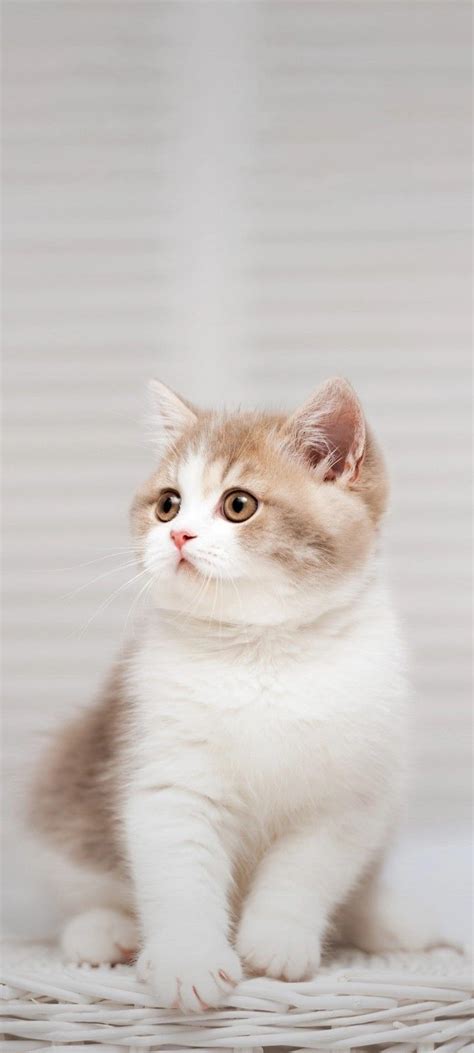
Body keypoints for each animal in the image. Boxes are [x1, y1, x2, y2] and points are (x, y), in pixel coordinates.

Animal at [27, 379, 431, 1010]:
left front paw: (277, 943)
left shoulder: (348, 794)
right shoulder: (168, 776)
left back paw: (388, 921)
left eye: (238, 505)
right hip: (68, 784)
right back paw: (104, 931)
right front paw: (188, 961)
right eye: (167, 504)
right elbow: (178, 873)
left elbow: (306, 870)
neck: (260, 652)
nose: (177, 534)